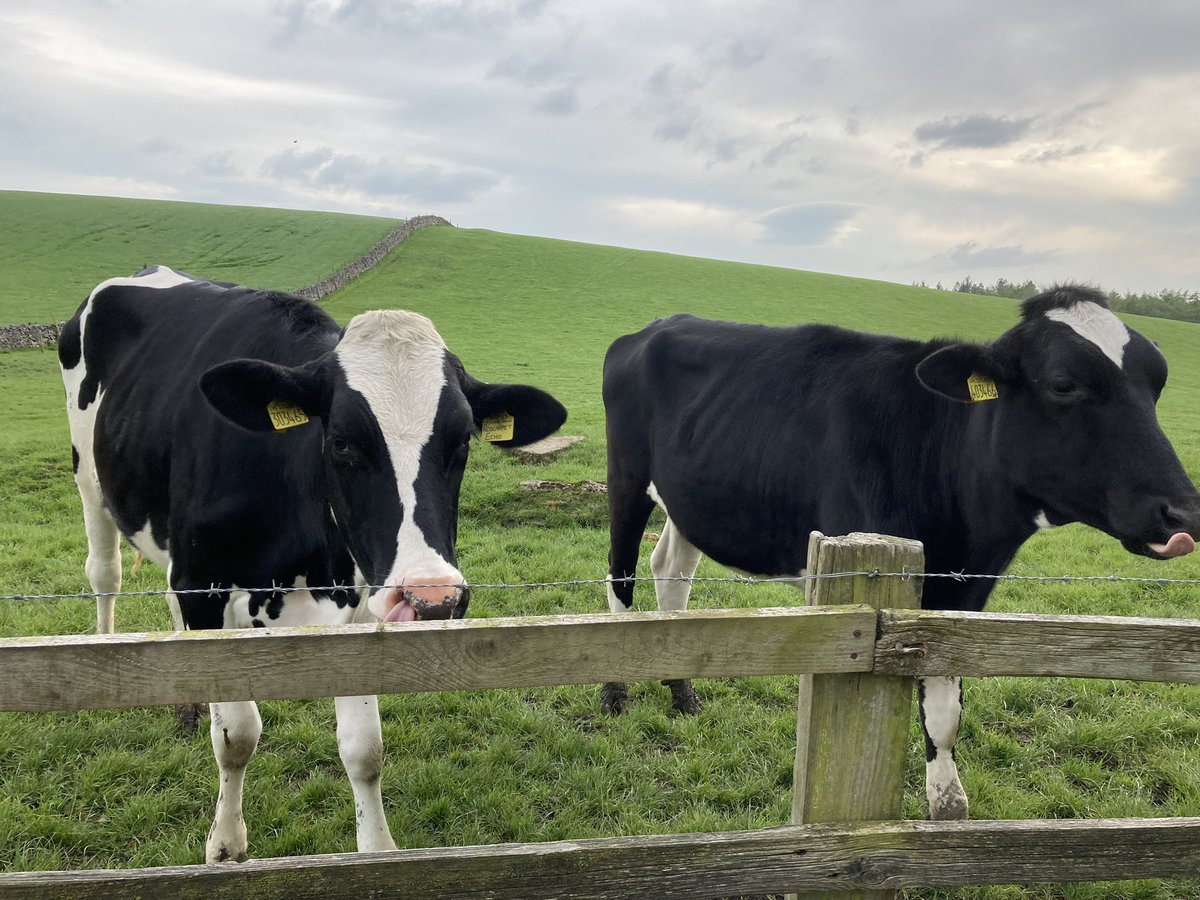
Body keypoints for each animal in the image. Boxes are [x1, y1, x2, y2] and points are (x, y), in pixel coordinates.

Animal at [59, 265, 567, 862]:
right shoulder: (202, 585)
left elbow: (364, 749)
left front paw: (377, 849)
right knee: (105, 572)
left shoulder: (361, 603)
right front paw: (225, 846)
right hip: (90, 478)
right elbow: (237, 735)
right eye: (342, 441)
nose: (433, 596)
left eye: (462, 440)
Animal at [601, 285, 1200, 821]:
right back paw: (614, 691)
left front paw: (947, 805)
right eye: (1063, 384)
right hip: (626, 480)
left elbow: (944, 713)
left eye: (1157, 383)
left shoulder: (959, 598)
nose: (1182, 514)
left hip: (689, 498)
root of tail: (657, 325)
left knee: (671, 572)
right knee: (621, 576)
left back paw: (682, 691)